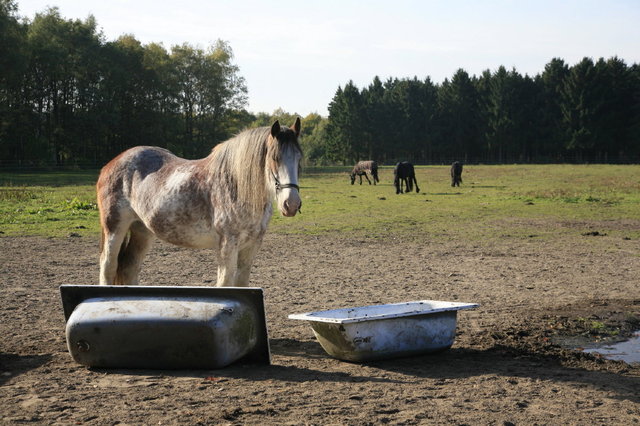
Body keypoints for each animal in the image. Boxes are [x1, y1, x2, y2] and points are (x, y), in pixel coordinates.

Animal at [96, 118, 303, 287]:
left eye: (298, 158)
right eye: (274, 158)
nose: (291, 204)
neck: (236, 185)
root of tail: (110, 165)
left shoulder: (251, 247)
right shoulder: (227, 246)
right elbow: (225, 283)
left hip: (142, 230)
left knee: (129, 268)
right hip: (115, 227)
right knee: (108, 266)